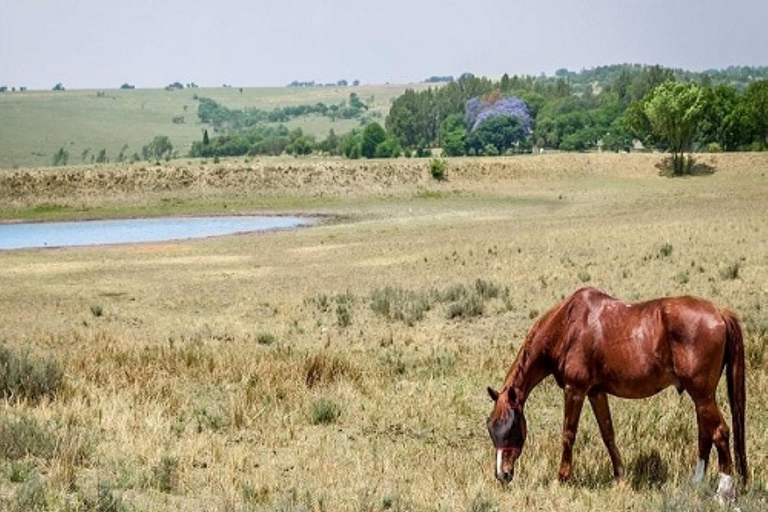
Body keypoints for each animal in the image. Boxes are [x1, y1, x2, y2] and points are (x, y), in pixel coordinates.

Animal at [486, 288, 744, 500]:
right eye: (491, 428)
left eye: (512, 428)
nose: (502, 474)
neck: (568, 325)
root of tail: (719, 313)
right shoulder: (596, 393)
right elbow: (608, 433)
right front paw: (620, 475)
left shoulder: (575, 390)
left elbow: (568, 435)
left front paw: (562, 478)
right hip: (701, 397)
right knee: (705, 434)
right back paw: (696, 483)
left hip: (702, 395)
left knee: (720, 432)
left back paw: (723, 492)